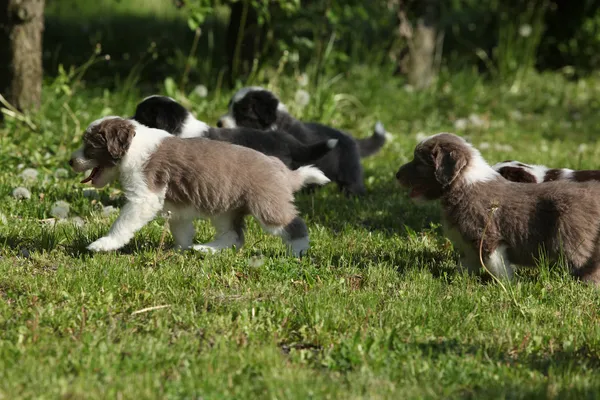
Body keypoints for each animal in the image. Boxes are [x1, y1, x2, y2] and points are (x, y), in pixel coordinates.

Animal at [68, 115, 330, 256]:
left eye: (89, 146)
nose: (70, 161)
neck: (133, 146)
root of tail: (284, 170)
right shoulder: (175, 208)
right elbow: (182, 230)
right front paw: (180, 250)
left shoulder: (144, 198)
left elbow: (121, 224)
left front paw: (103, 244)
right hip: (226, 209)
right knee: (234, 236)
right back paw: (204, 249)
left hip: (267, 205)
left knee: (294, 225)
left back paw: (298, 252)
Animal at [216, 86, 390, 196]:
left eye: (242, 113)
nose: (219, 123)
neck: (276, 125)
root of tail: (351, 138)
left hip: (349, 170)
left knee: (353, 185)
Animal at [398, 134, 600, 284]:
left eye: (418, 162)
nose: (396, 175)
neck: (464, 182)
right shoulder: (471, 243)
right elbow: (467, 263)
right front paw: (458, 280)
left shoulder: (488, 236)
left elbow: (497, 265)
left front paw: (507, 286)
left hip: (570, 238)